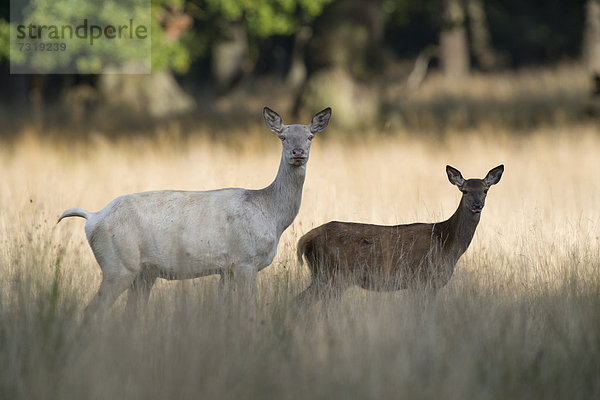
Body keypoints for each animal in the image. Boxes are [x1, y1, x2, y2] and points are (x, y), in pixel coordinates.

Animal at [58, 106, 330, 318]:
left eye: (309, 136)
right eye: (283, 137)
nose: (298, 153)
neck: (271, 214)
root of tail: (92, 218)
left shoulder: (227, 268)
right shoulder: (245, 260)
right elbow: (248, 309)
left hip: (143, 272)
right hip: (118, 263)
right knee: (92, 310)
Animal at [296, 164, 502, 302]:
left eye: (485, 190)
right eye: (464, 191)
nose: (477, 205)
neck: (445, 241)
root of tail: (305, 239)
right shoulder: (422, 280)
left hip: (325, 275)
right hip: (332, 274)